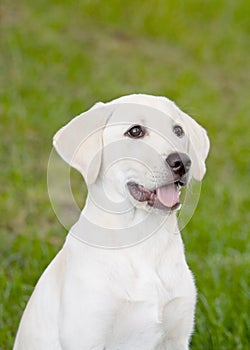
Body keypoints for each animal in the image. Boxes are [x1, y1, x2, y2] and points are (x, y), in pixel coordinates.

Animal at [13, 93, 209, 350]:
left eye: (178, 130)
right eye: (135, 131)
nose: (182, 162)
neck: (141, 240)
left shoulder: (176, 337)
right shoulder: (87, 336)